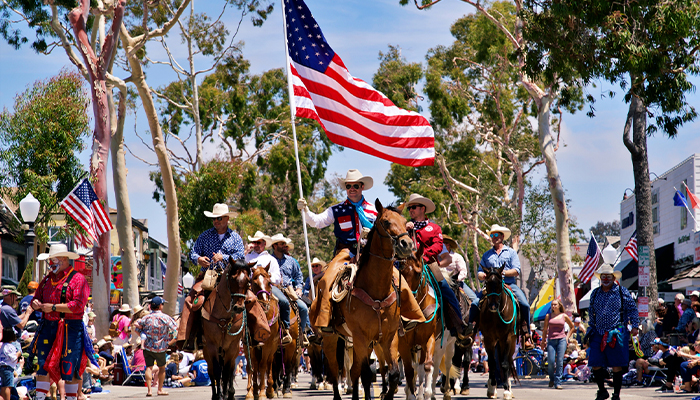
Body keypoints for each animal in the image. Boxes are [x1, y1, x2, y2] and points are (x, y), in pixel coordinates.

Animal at [201, 260, 256, 400]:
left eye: (248, 280)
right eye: (232, 278)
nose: (238, 307)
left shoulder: (232, 346)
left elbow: (227, 372)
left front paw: (227, 394)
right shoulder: (211, 345)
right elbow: (216, 371)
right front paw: (218, 395)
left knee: (230, 370)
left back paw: (229, 393)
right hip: (207, 351)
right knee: (211, 372)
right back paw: (217, 394)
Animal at [318, 202, 412, 400]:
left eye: (404, 222)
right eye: (386, 221)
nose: (407, 244)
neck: (376, 290)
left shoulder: (388, 336)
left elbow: (393, 374)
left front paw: (386, 394)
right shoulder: (361, 336)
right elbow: (366, 373)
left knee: (355, 371)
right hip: (331, 339)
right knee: (334, 369)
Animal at [482, 266, 520, 400]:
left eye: (499, 283)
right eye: (487, 283)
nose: (493, 305)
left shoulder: (507, 338)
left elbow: (504, 364)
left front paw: (507, 390)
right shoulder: (488, 338)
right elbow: (492, 363)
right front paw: (492, 388)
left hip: (511, 342)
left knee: (508, 360)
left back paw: (508, 387)